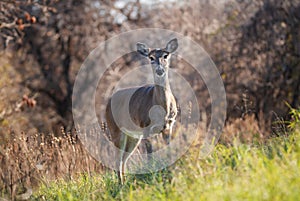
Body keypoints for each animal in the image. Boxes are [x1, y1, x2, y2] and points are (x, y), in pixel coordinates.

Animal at [105, 38, 178, 184]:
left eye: (165, 55)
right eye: (151, 57)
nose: (159, 69)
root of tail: (108, 103)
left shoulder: (169, 125)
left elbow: (168, 148)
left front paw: (169, 171)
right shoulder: (145, 126)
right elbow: (149, 153)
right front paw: (152, 174)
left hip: (133, 136)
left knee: (124, 159)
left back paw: (124, 182)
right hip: (115, 129)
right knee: (117, 159)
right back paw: (120, 184)